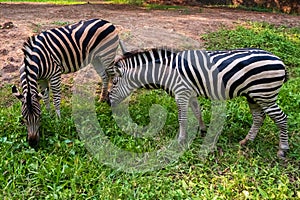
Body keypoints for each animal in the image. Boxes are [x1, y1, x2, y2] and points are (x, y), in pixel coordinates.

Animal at [12, 18, 119, 147]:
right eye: (23, 117)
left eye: (38, 116)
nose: (32, 143)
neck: (35, 60)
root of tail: (107, 22)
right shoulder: (41, 79)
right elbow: (46, 98)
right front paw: (49, 114)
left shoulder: (55, 75)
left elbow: (56, 99)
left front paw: (58, 120)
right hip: (96, 58)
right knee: (105, 77)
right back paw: (102, 98)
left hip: (107, 55)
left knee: (115, 76)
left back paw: (115, 101)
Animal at [109, 47, 290, 159]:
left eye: (115, 82)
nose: (107, 102)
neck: (165, 72)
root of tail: (279, 61)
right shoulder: (189, 93)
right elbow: (197, 112)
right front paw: (203, 130)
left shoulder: (181, 93)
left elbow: (182, 119)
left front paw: (180, 141)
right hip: (254, 96)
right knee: (259, 117)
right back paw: (247, 141)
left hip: (265, 94)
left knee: (281, 118)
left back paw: (282, 149)